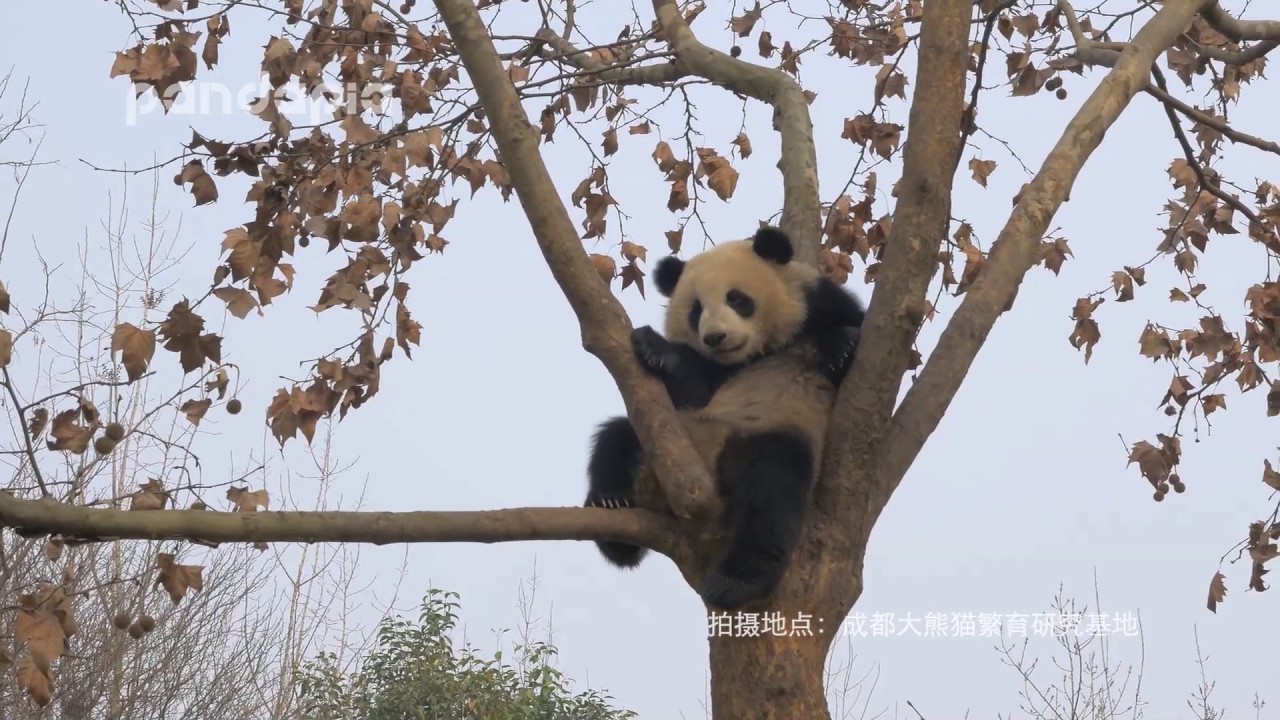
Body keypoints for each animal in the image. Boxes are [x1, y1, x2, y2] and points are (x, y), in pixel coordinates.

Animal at [584, 225, 866, 610]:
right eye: (696, 310)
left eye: (736, 299)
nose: (715, 337)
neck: (758, 353)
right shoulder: (711, 379)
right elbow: (696, 383)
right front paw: (653, 347)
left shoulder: (821, 305)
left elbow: (853, 338)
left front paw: (841, 348)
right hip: (673, 431)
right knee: (616, 438)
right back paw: (611, 505)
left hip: (774, 433)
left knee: (772, 493)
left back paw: (735, 581)